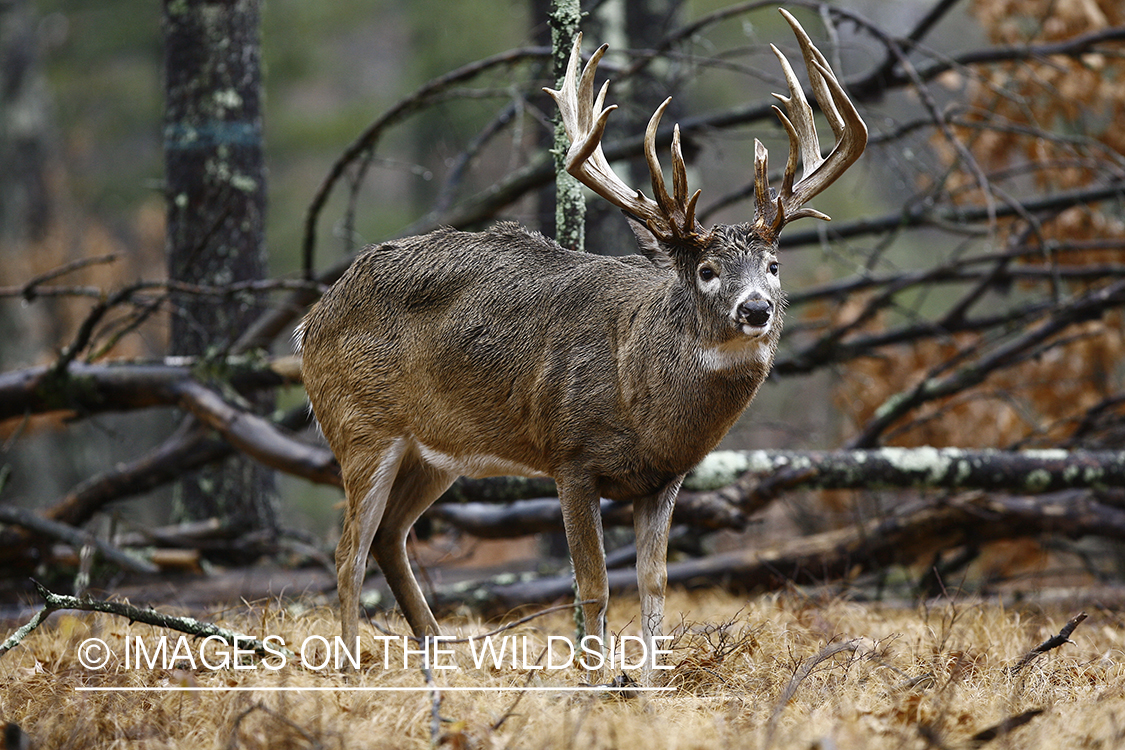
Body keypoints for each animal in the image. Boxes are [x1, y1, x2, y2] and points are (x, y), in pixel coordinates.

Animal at [297, 7, 859, 688]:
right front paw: (592, 682)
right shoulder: (571, 456)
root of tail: (311, 321)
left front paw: (650, 683)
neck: (641, 398)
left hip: (436, 452)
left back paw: (442, 660)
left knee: (389, 537)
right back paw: (351, 671)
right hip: (360, 425)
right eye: (706, 271)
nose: (756, 309)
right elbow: (592, 585)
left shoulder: (665, 478)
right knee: (347, 550)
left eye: (774, 265)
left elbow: (654, 582)